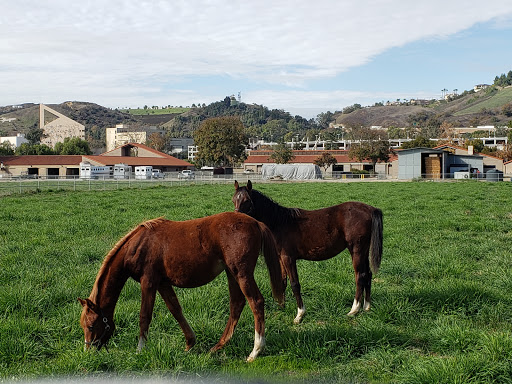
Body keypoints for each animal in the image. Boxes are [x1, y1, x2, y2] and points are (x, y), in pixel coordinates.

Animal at [77, 212, 284, 362]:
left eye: (91, 325)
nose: (88, 351)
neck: (138, 245)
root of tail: (256, 222)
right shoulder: (163, 284)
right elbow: (175, 310)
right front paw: (190, 343)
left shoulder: (148, 282)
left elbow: (144, 316)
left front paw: (140, 350)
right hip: (231, 273)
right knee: (237, 304)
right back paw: (218, 346)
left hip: (241, 274)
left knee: (255, 302)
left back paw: (255, 351)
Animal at [234, 181, 382, 324]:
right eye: (234, 199)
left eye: (247, 200)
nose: (237, 220)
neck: (280, 222)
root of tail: (371, 209)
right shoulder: (281, 258)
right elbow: (283, 282)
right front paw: (281, 307)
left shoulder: (288, 258)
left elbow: (295, 284)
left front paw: (299, 314)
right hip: (364, 250)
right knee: (368, 274)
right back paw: (366, 307)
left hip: (356, 249)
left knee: (360, 276)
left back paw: (354, 309)